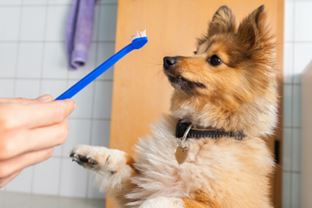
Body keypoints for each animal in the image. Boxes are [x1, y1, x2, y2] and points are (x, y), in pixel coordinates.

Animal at [70, 5, 278, 208]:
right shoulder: (143, 182)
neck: (199, 132)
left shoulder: (220, 202)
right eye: (195, 52)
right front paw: (93, 154)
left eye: (215, 60)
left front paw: (150, 203)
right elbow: (123, 162)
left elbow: (168, 198)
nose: (167, 60)